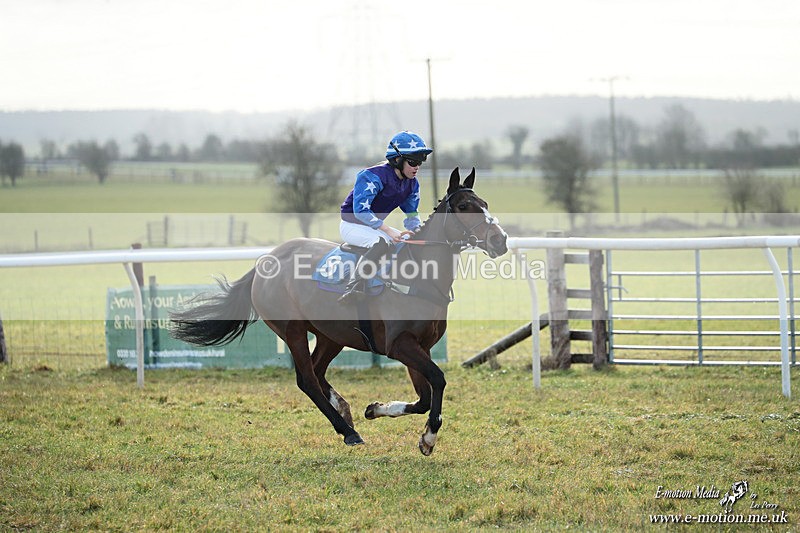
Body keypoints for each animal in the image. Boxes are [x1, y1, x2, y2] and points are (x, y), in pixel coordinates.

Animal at [169, 167, 508, 455]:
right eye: (463, 205)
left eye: (485, 203)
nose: (500, 240)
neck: (418, 275)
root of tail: (263, 262)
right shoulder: (399, 344)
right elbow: (437, 380)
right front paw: (429, 437)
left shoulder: (420, 346)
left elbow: (424, 397)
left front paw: (375, 409)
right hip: (292, 330)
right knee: (307, 379)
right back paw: (347, 430)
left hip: (331, 334)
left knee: (319, 372)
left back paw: (344, 410)